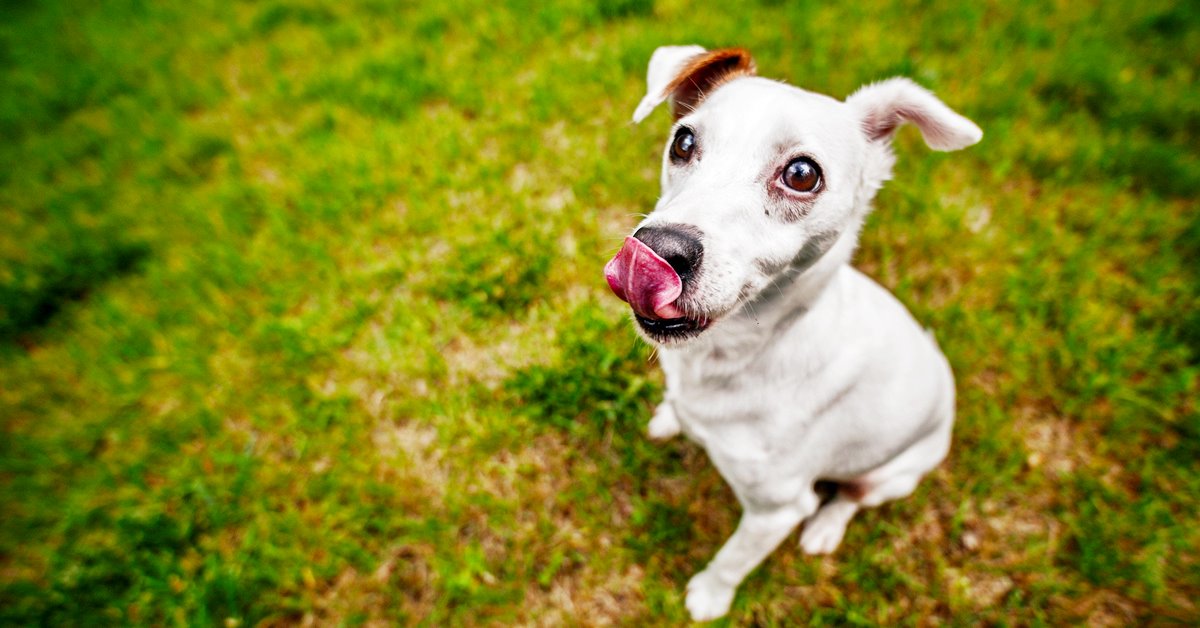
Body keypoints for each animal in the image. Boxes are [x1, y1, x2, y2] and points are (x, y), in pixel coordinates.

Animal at [604, 46, 979, 619]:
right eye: (683, 141)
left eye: (802, 174)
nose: (658, 248)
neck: (737, 354)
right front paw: (671, 417)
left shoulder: (775, 510)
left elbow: (734, 557)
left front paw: (709, 597)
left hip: (890, 474)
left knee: (849, 498)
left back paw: (825, 530)